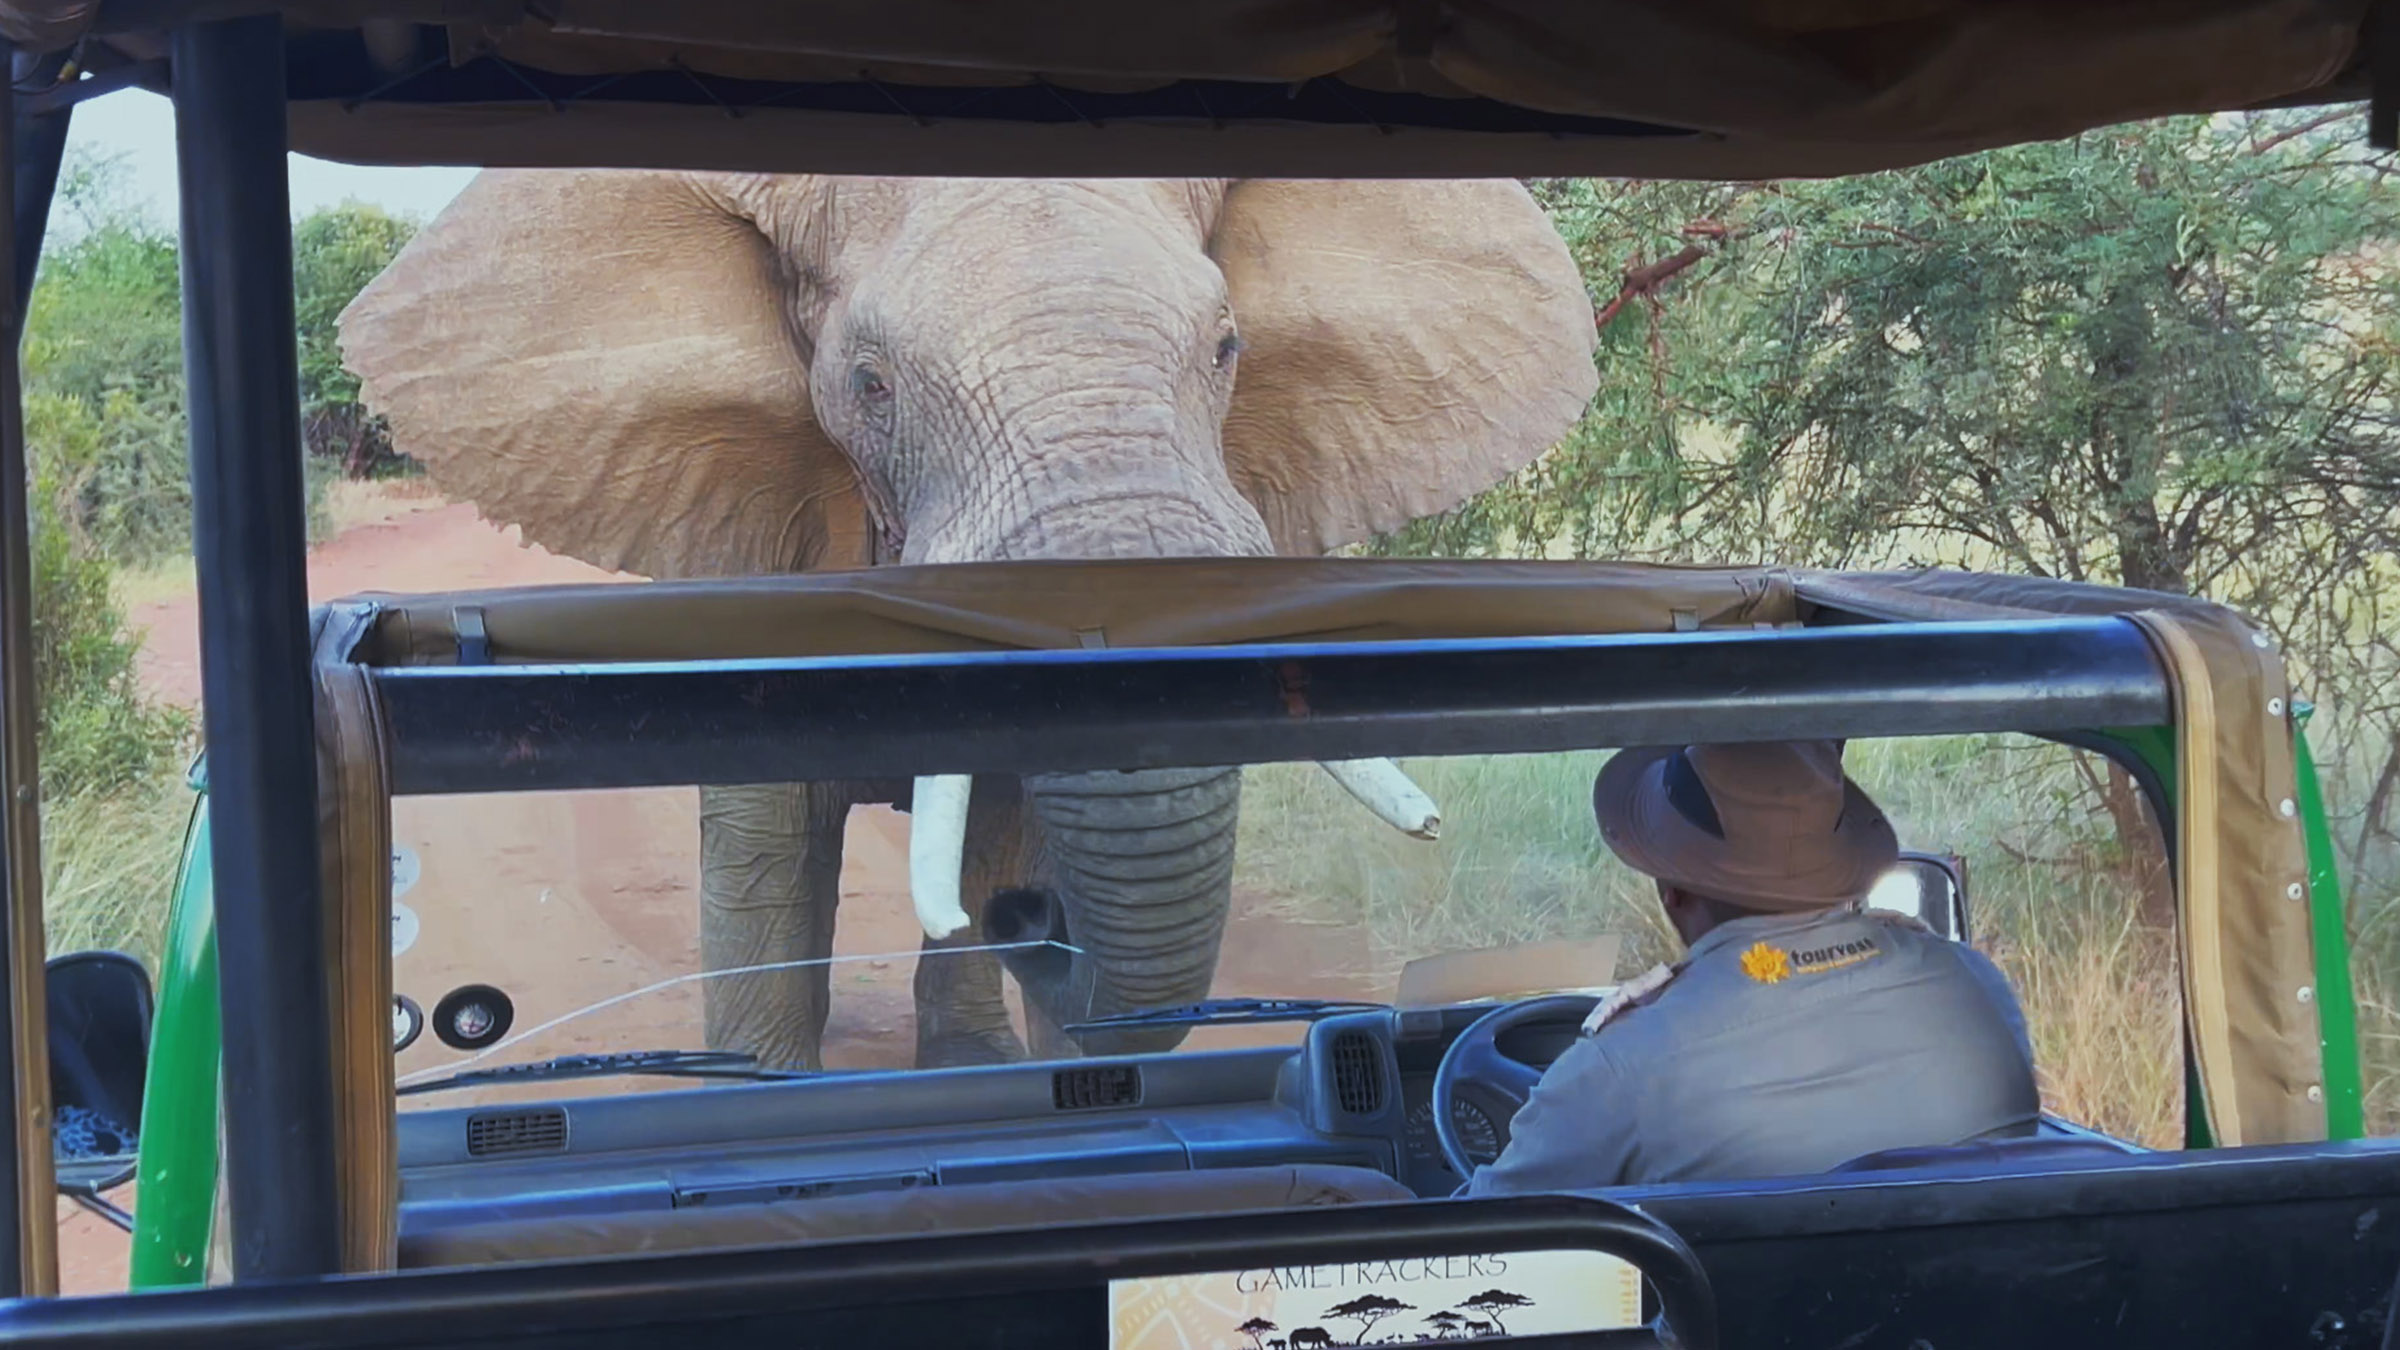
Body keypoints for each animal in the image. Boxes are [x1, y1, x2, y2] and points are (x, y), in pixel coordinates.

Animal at [337, 173, 1597, 1071]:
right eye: (869, 385)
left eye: (1228, 347)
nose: (1040, 926)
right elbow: (764, 827)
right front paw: (758, 1080)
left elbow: (998, 807)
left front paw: (982, 1058)